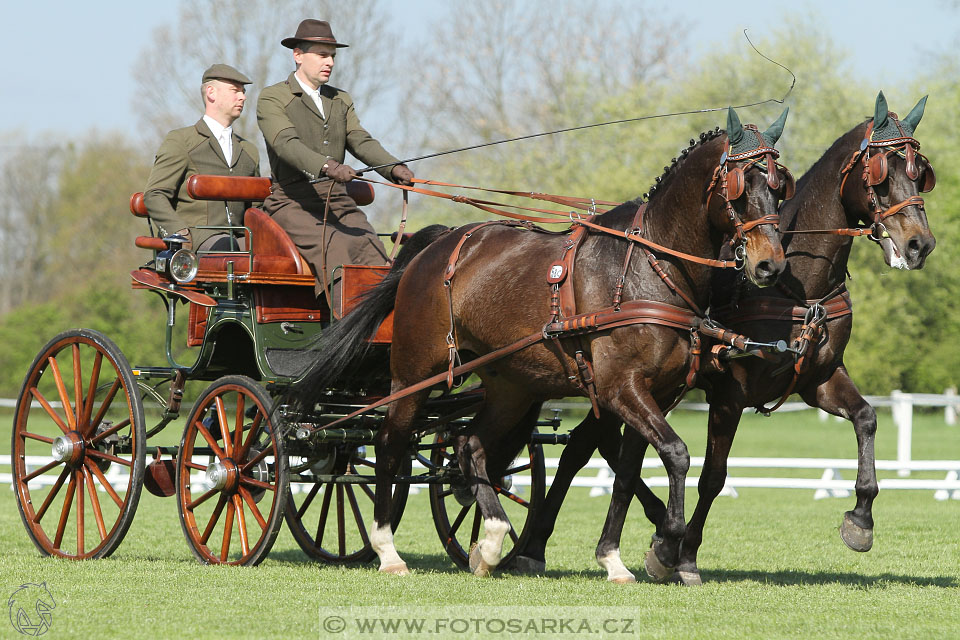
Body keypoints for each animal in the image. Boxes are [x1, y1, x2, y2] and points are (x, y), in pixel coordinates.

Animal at [292, 106, 796, 576]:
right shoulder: (621, 388)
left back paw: (491, 541)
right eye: (741, 184)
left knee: (469, 445)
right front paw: (667, 543)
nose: (770, 265)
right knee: (388, 444)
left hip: (510, 386)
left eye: (779, 186)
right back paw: (387, 549)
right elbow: (675, 453)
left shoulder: (655, 393)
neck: (647, 268)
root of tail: (437, 244)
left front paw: (617, 557)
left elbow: (629, 471)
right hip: (415, 373)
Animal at [516, 89, 936, 584]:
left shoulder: (818, 380)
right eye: (881, 173)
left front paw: (860, 520)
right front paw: (682, 555)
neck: (796, 288)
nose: (919, 245)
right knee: (594, 448)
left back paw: (554, 541)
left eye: (920, 171)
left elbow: (866, 418)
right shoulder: (729, 394)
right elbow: (713, 476)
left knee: (587, 447)